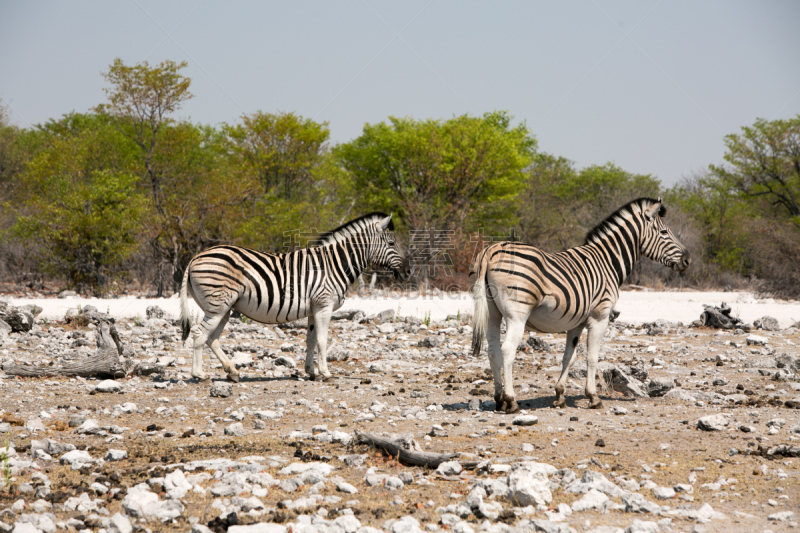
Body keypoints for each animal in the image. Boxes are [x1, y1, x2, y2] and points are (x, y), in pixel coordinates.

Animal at [179, 212, 410, 382]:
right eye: (391, 244)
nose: (408, 272)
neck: (334, 264)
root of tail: (195, 258)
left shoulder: (314, 309)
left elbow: (311, 340)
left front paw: (311, 372)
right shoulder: (324, 306)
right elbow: (323, 340)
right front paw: (326, 373)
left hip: (223, 307)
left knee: (212, 338)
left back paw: (232, 372)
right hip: (218, 305)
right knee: (200, 334)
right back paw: (199, 375)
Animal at [472, 196, 692, 412]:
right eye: (664, 232)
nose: (688, 260)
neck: (607, 262)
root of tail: (491, 250)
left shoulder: (575, 322)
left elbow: (569, 356)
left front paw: (559, 395)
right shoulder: (600, 315)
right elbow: (592, 356)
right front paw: (593, 397)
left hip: (493, 313)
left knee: (493, 351)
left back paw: (499, 399)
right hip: (517, 314)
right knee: (507, 350)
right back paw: (511, 401)